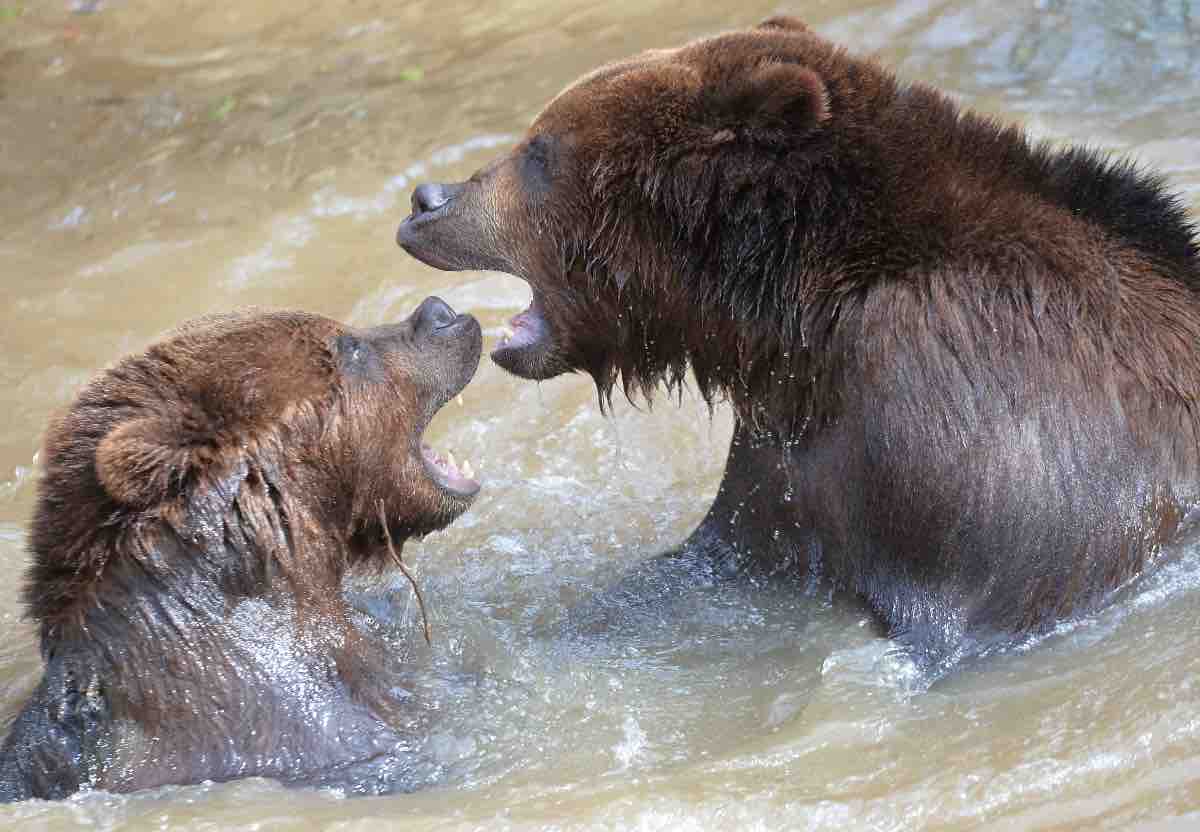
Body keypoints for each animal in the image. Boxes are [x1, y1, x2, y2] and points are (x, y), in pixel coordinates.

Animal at [398, 16, 1200, 672]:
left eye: (539, 151)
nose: (426, 200)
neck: (807, 307)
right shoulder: (788, 438)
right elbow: (726, 552)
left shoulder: (962, 424)